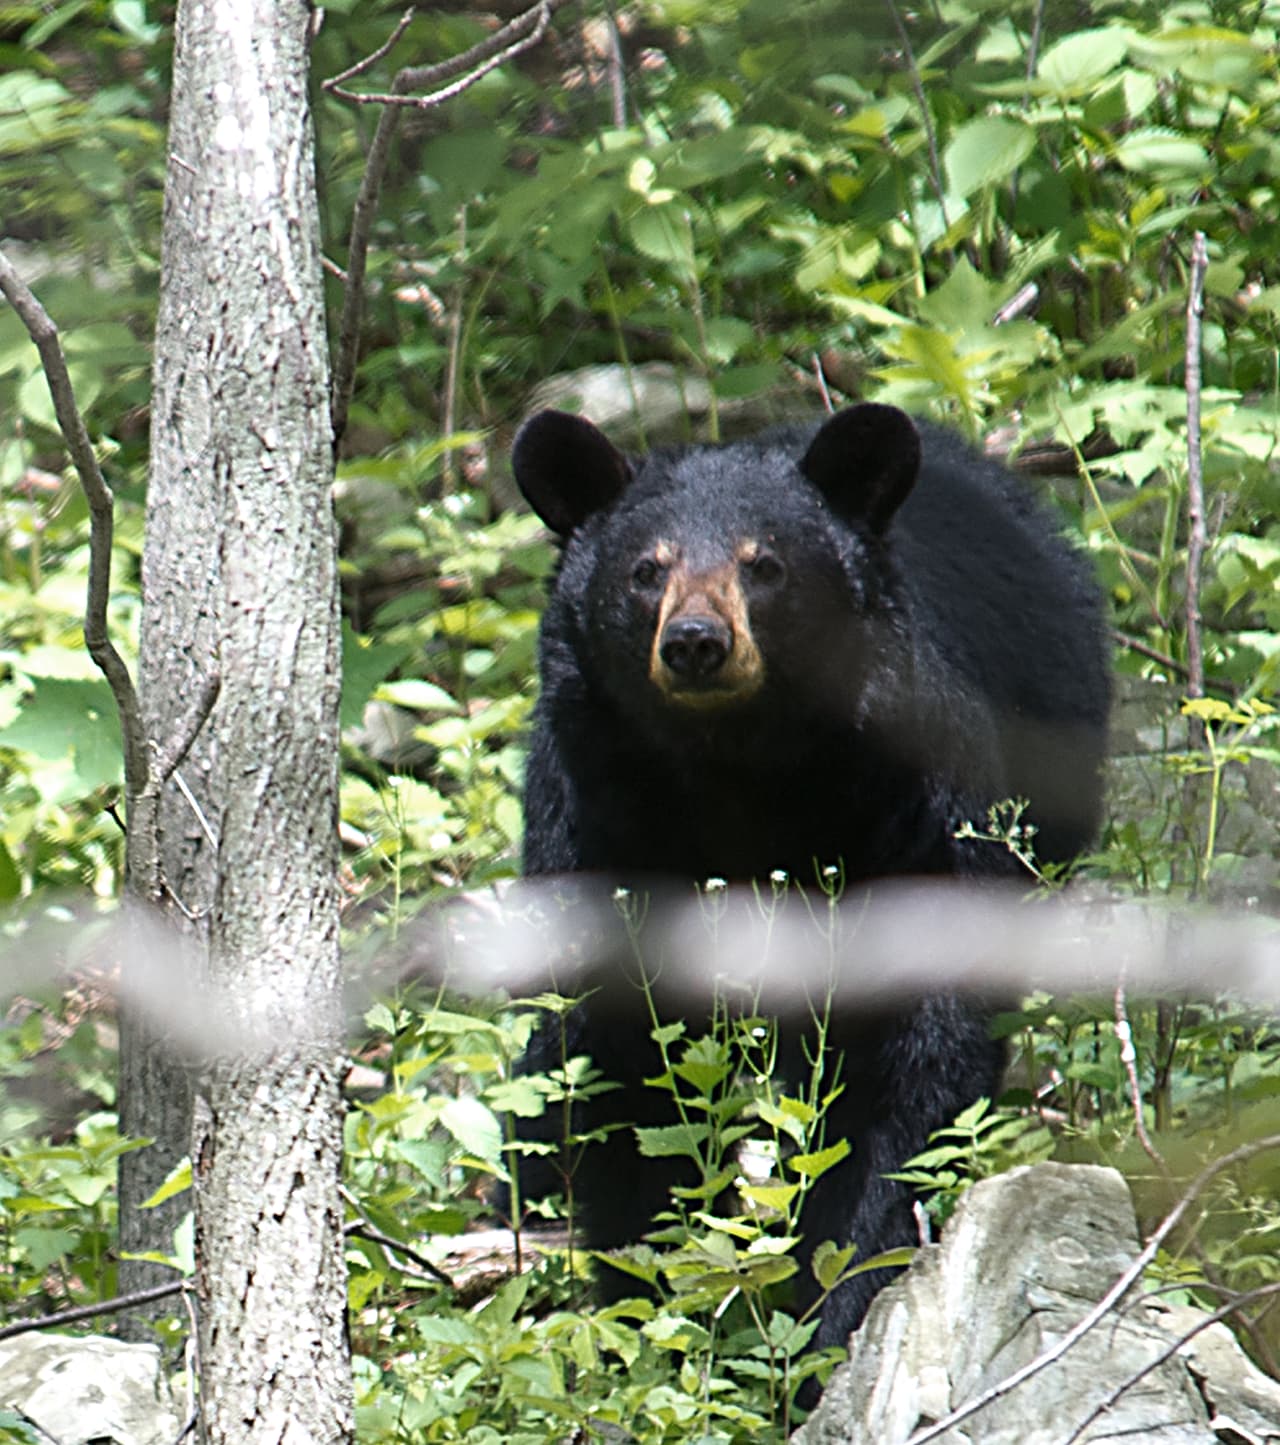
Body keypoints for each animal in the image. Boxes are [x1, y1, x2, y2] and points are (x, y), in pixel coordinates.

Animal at [509, 402, 1111, 1377]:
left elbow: (909, 1068)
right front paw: (664, 1312)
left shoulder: (913, 806)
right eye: (646, 569)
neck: (739, 770)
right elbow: (623, 1068)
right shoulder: (600, 821)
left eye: (765, 564)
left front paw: (835, 1310)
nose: (696, 642)